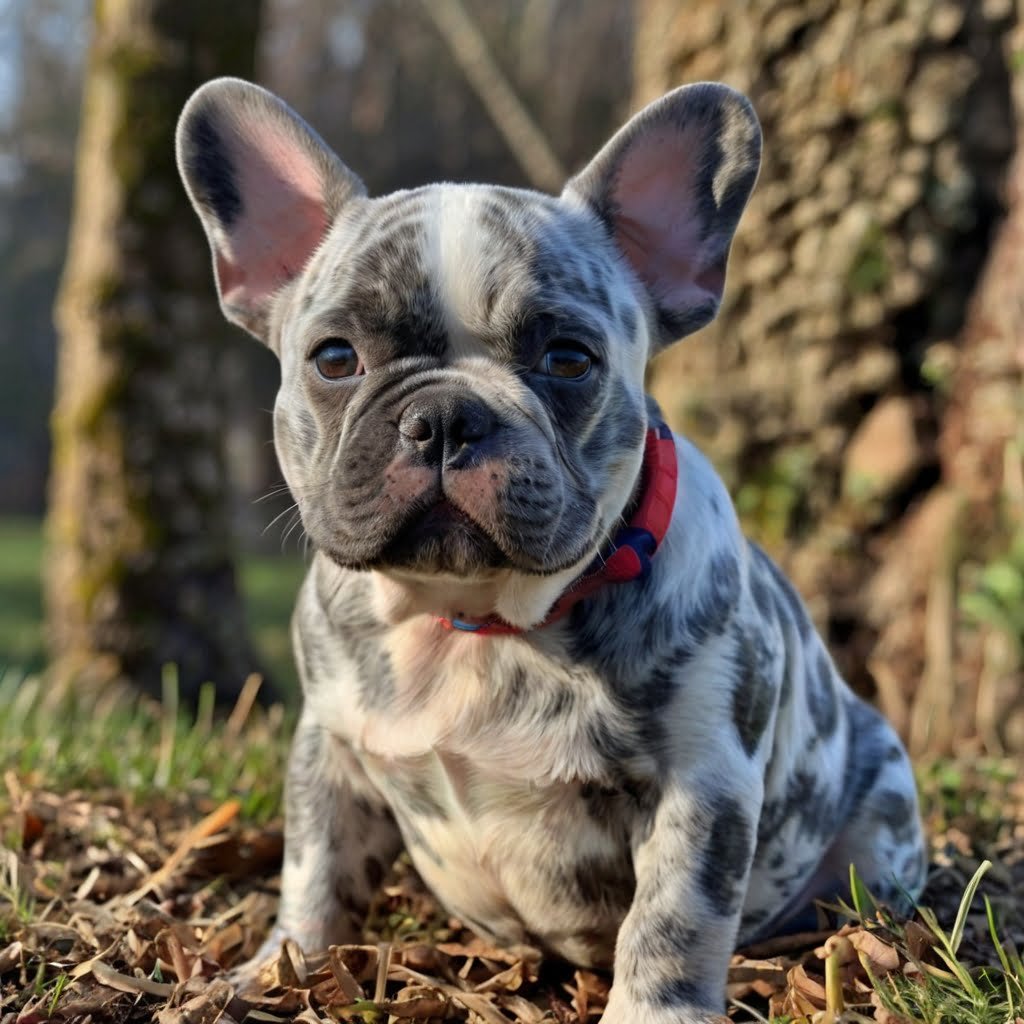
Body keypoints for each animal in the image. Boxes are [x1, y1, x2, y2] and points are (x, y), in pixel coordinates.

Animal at [176, 75, 929, 1019]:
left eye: (568, 358)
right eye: (335, 358)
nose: (445, 418)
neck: (470, 618)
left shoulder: (701, 788)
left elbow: (671, 923)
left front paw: (651, 1012)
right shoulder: (330, 749)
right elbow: (315, 869)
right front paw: (278, 970)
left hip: (881, 810)